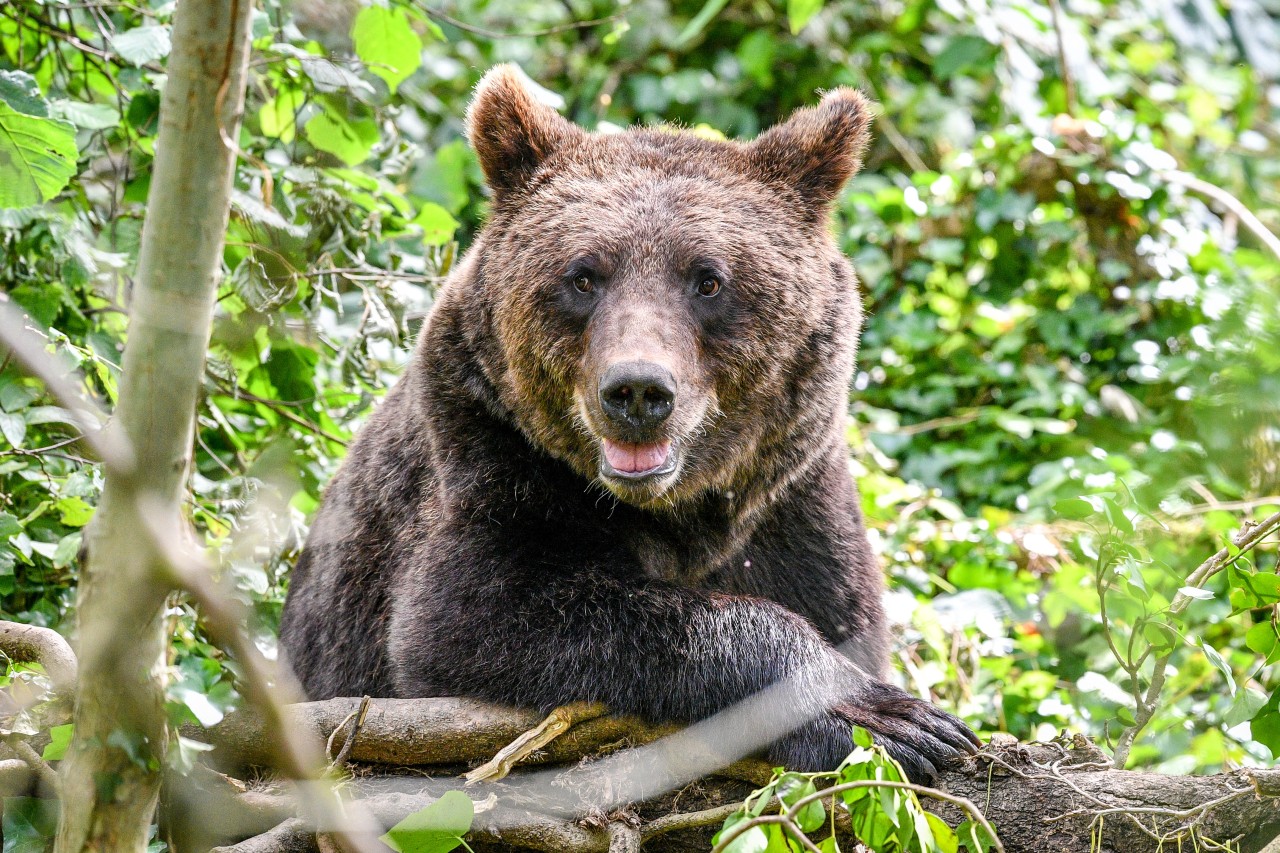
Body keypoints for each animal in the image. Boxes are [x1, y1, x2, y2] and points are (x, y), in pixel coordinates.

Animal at [280, 64, 972, 778]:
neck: (679, 512)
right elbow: (474, 617)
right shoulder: (491, 462)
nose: (637, 390)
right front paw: (885, 717)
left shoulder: (794, 506)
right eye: (583, 276)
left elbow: (837, 610)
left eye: (708, 280)